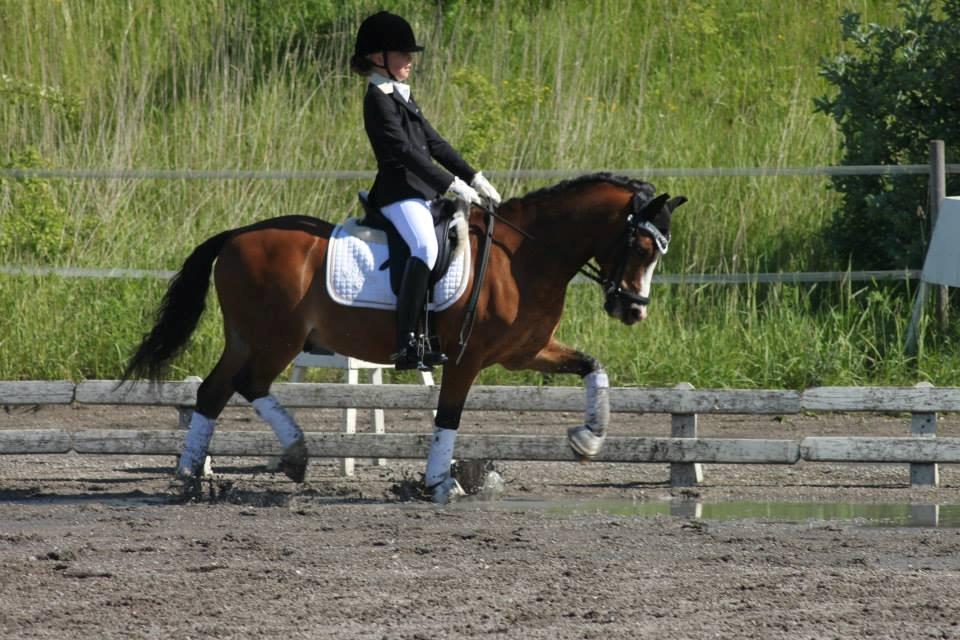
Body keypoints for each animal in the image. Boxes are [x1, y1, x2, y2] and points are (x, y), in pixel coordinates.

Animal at [121, 172, 686, 503]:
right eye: (641, 247)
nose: (632, 309)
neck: (522, 257)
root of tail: (237, 234)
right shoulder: (467, 357)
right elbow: (448, 416)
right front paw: (440, 482)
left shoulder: (526, 352)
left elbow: (592, 366)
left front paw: (588, 438)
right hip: (276, 337)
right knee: (249, 384)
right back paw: (294, 455)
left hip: (246, 335)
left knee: (213, 392)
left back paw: (191, 479)